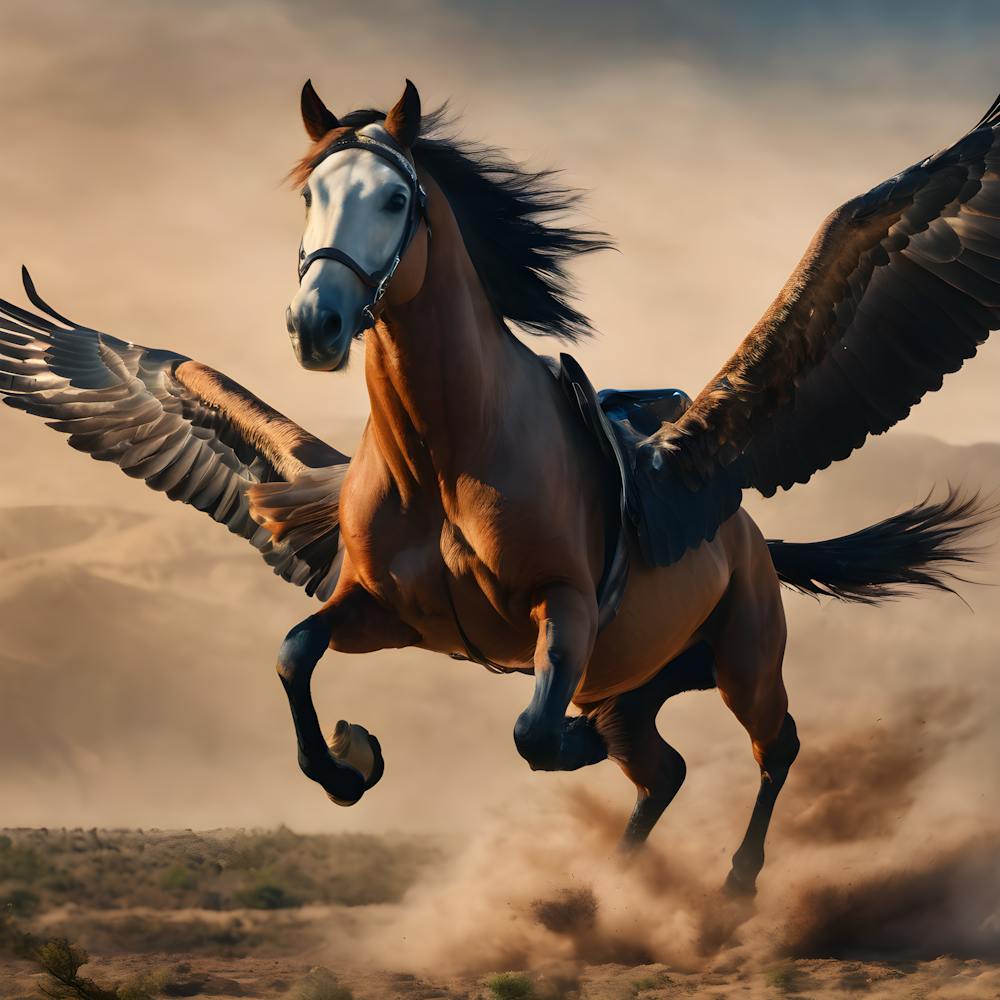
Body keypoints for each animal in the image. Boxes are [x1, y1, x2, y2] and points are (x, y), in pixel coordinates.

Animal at [2, 80, 999, 896]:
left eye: (395, 196)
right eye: (310, 195)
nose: (316, 324)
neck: (450, 454)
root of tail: (749, 534)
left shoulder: (564, 610)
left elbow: (531, 733)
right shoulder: (385, 612)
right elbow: (292, 652)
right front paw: (353, 760)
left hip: (743, 658)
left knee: (773, 746)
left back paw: (734, 884)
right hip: (638, 685)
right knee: (665, 771)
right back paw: (610, 886)